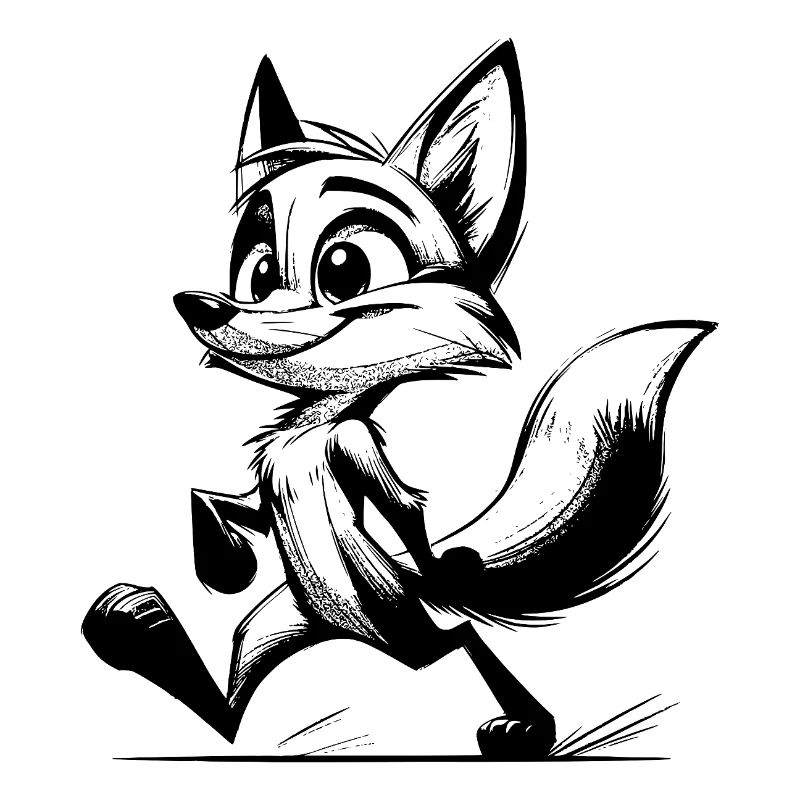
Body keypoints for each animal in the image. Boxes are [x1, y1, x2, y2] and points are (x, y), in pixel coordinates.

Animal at [82, 40, 714, 757]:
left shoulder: (353, 441)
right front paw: (218, 553)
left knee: (459, 640)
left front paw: (440, 564)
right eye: (260, 272)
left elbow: (405, 513)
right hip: (287, 617)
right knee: (232, 695)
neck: (312, 423)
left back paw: (522, 724)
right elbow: (231, 505)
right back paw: (142, 629)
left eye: (344, 269)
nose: (200, 306)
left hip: (389, 609)